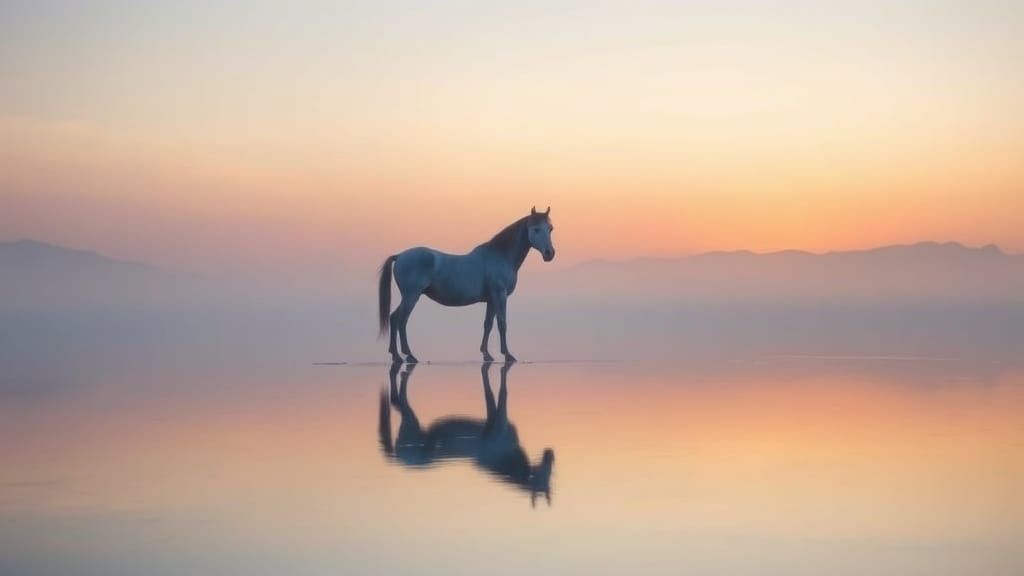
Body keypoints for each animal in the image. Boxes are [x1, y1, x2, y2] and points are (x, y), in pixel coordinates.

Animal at [378, 206, 556, 363]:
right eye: (536, 229)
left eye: (550, 229)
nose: (549, 254)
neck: (500, 256)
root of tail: (400, 256)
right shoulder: (500, 295)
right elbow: (502, 323)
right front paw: (507, 354)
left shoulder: (491, 299)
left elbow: (488, 324)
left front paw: (486, 354)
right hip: (411, 296)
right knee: (400, 319)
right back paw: (407, 355)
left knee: (395, 318)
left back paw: (398, 355)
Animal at [378, 362, 555, 506]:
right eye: (544, 478)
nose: (550, 454)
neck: (504, 457)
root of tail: (398, 457)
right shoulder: (500, 419)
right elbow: (503, 392)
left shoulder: (493, 417)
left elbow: (490, 395)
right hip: (410, 423)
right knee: (398, 400)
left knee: (396, 401)